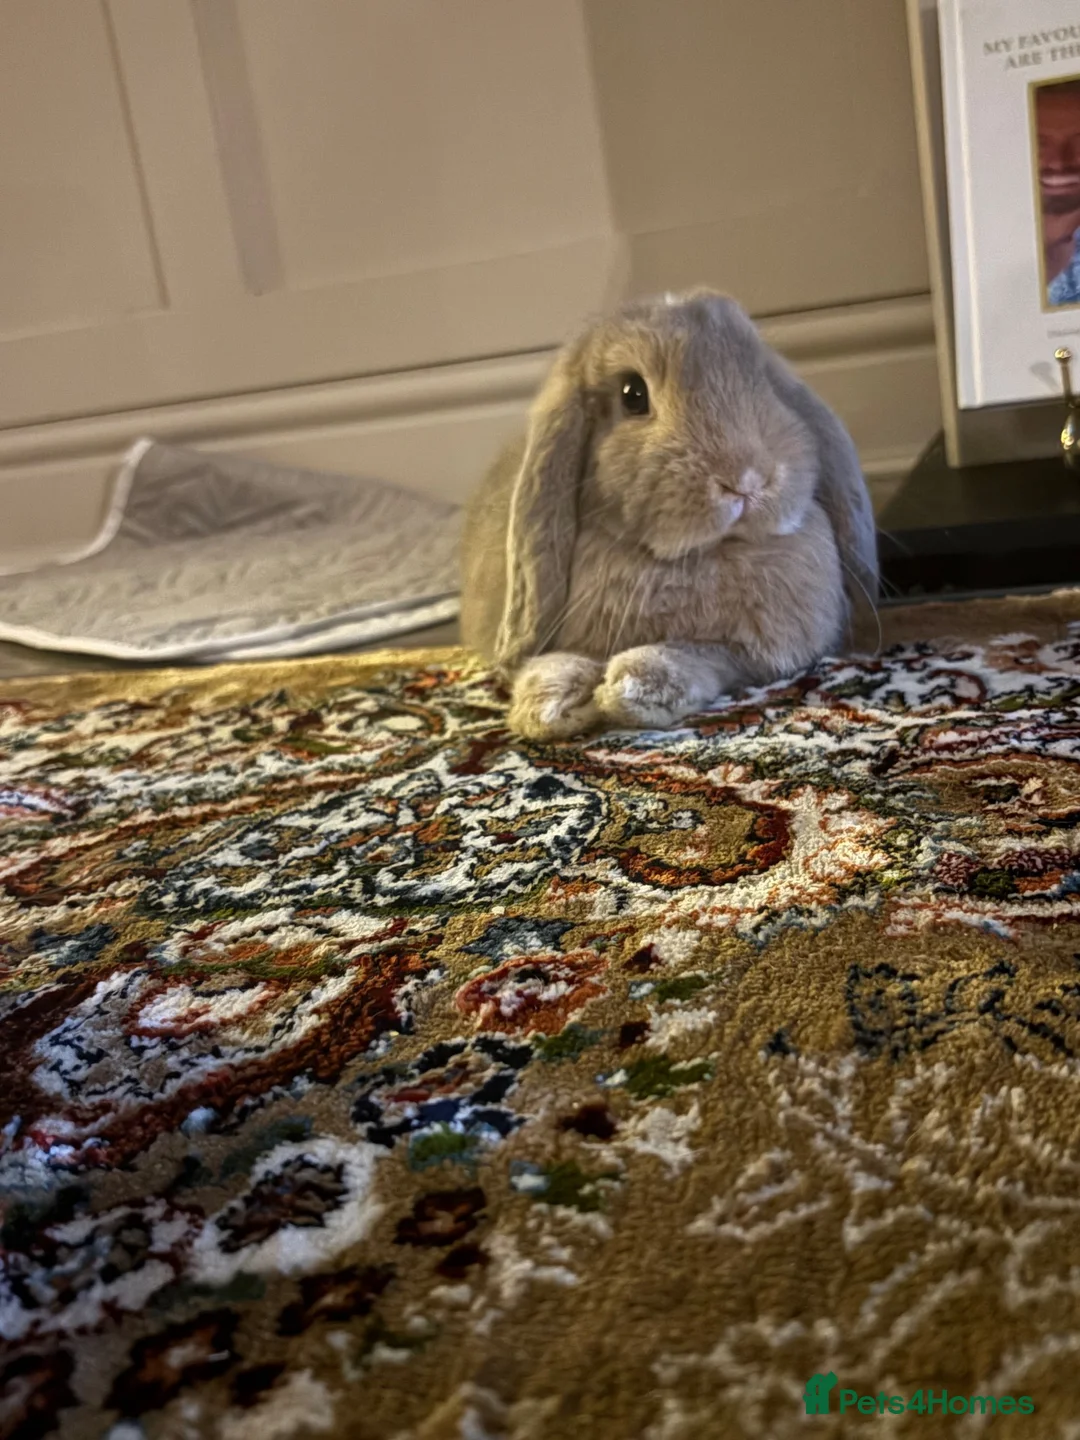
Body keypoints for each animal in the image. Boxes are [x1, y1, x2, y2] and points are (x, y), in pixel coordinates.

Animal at [459, 288, 879, 741]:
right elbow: (549, 663)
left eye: (764, 383)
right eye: (632, 394)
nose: (745, 479)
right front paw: (548, 706)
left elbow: (700, 656)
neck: (689, 558)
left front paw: (634, 685)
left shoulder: (747, 652)